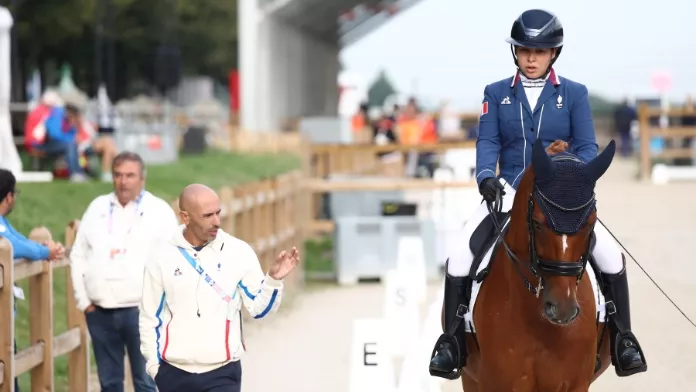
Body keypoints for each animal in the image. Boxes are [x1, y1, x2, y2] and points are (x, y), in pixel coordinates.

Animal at [456, 139, 616, 390]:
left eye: (590, 224)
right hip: (469, 377)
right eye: (538, 223)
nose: (562, 309)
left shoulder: (576, 384)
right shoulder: (494, 383)